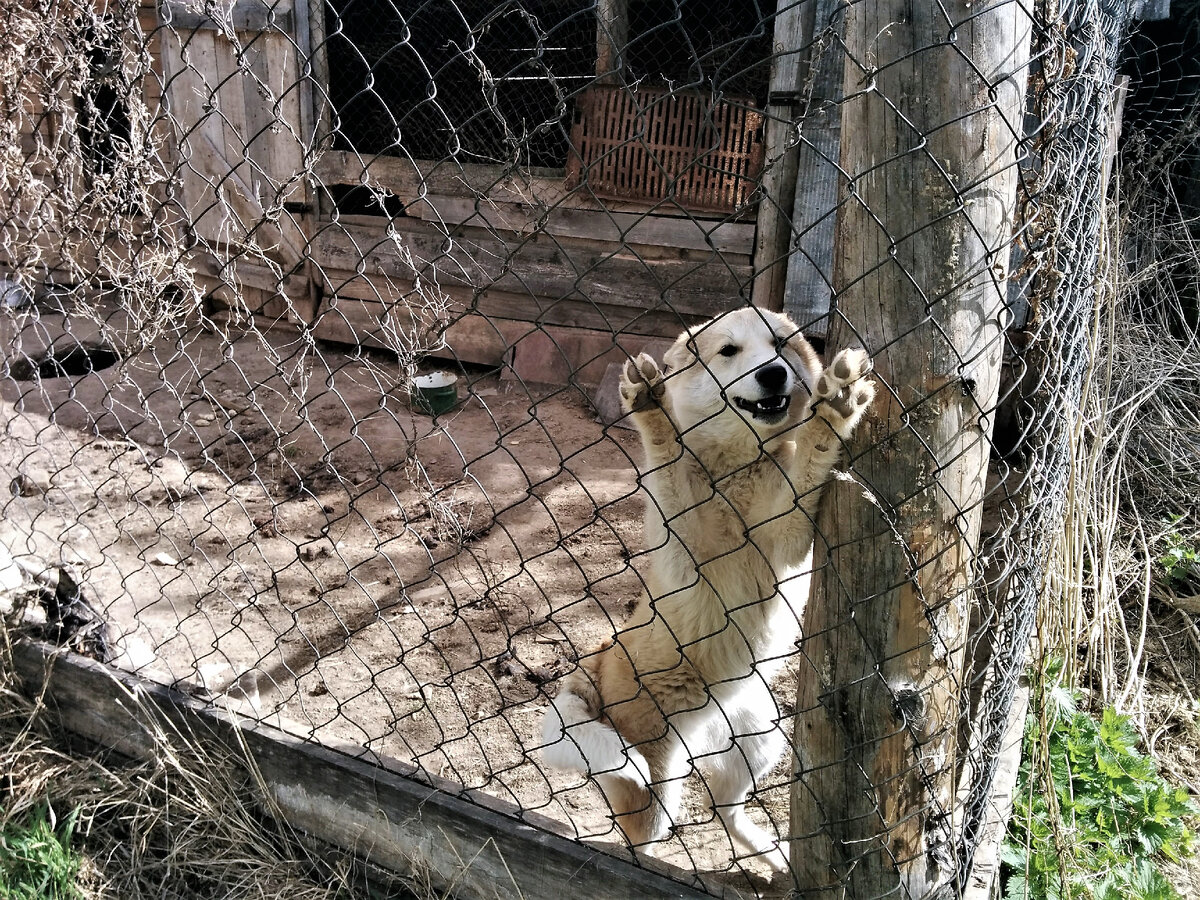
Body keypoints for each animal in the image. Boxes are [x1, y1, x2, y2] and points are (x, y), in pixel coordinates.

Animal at [540, 307, 878, 868]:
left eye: (780, 346)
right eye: (729, 351)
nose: (773, 374)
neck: (736, 468)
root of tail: (598, 658)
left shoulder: (789, 534)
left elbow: (811, 451)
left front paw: (838, 402)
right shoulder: (682, 541)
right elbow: (667, 455)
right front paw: (652, 409)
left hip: (760, 739)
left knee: (725, 812)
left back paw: (771, 858)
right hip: (655, 787)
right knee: (639, 841)